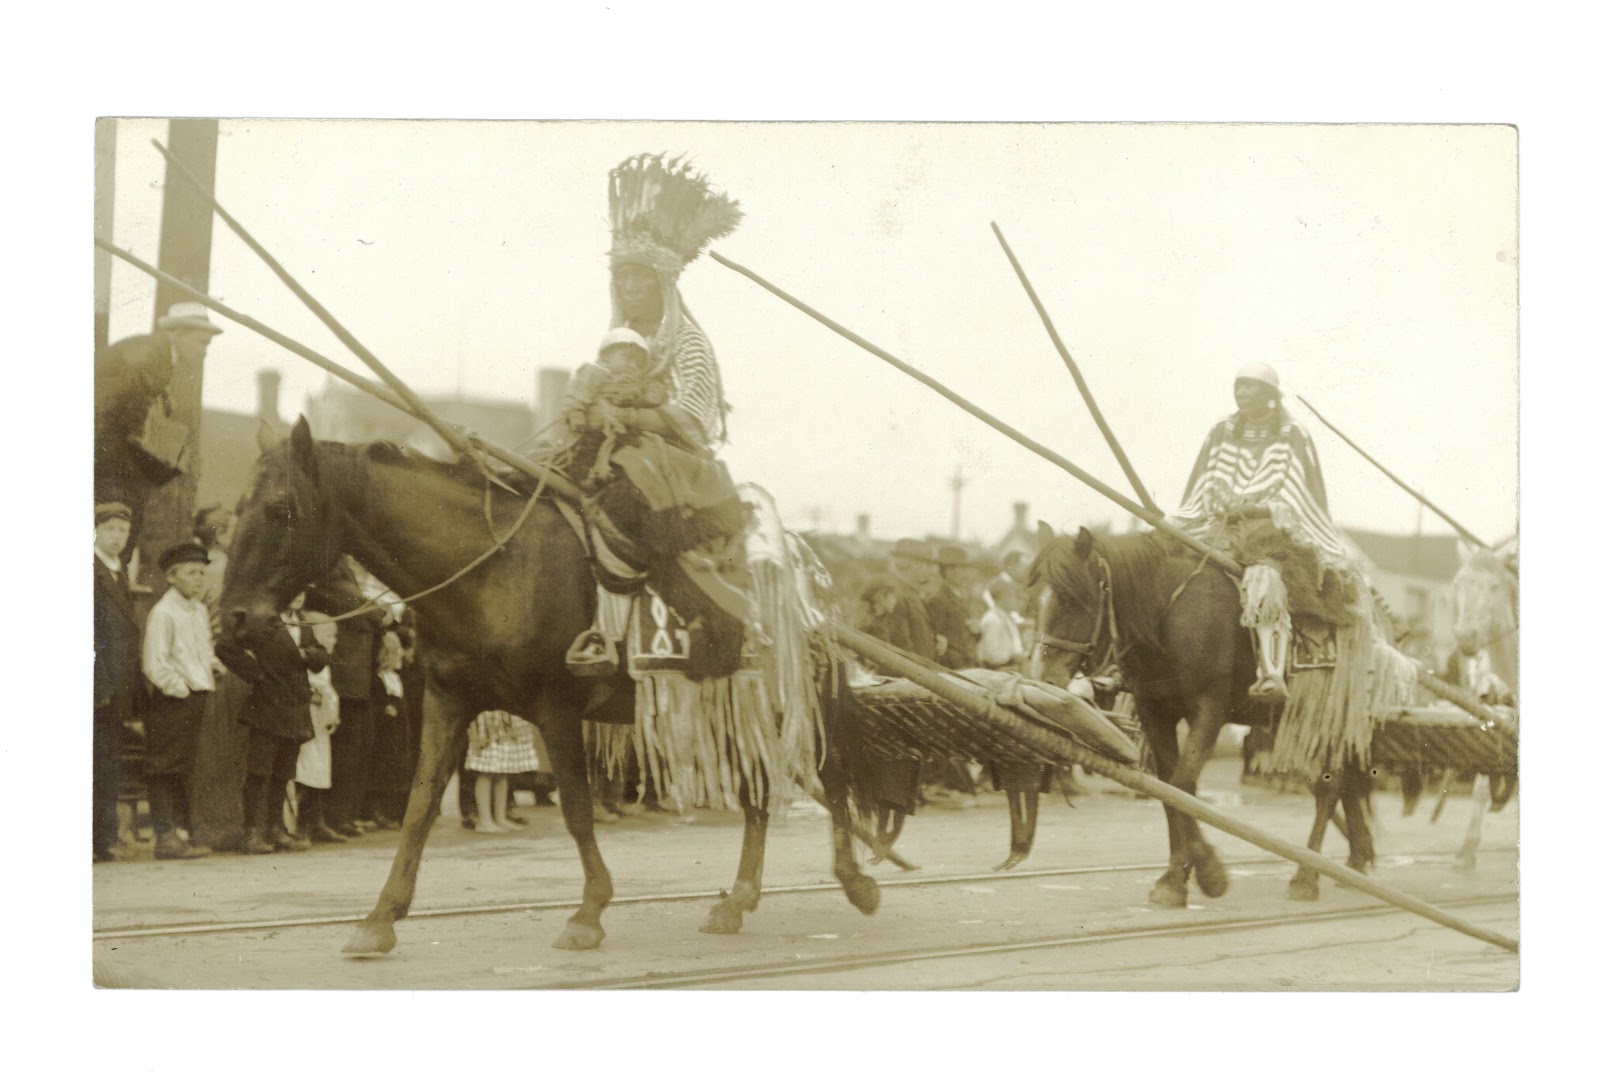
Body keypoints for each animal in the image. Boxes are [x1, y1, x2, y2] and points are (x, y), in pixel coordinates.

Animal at [218, 417, 881, 955]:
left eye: (281, 509)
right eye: (239, 508)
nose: (233, 622)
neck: (492, 570)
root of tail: (805, 564)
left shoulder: (556, 709)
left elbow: (577, 811)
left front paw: (588, 912)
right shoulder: (447, 702)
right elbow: (419, 807)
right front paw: (381, 917)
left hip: (792, 698)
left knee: (832, 774)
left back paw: (855, 881)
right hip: (730, 705)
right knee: (757, 791)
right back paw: (738, 899)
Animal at [1027, 524, 1377, 904]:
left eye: (1071, 599)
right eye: (1036, 600)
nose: (1043, 678)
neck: (1170, 618)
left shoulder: (1209, 711)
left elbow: (1183, 783)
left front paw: (1210, 873)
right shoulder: (1155, 713)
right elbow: (1169, 789)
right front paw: (1173, 879)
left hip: (1322, 719)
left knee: (1330, 785)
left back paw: (1306, 876)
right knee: (1343, 784)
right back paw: (1357, 861)